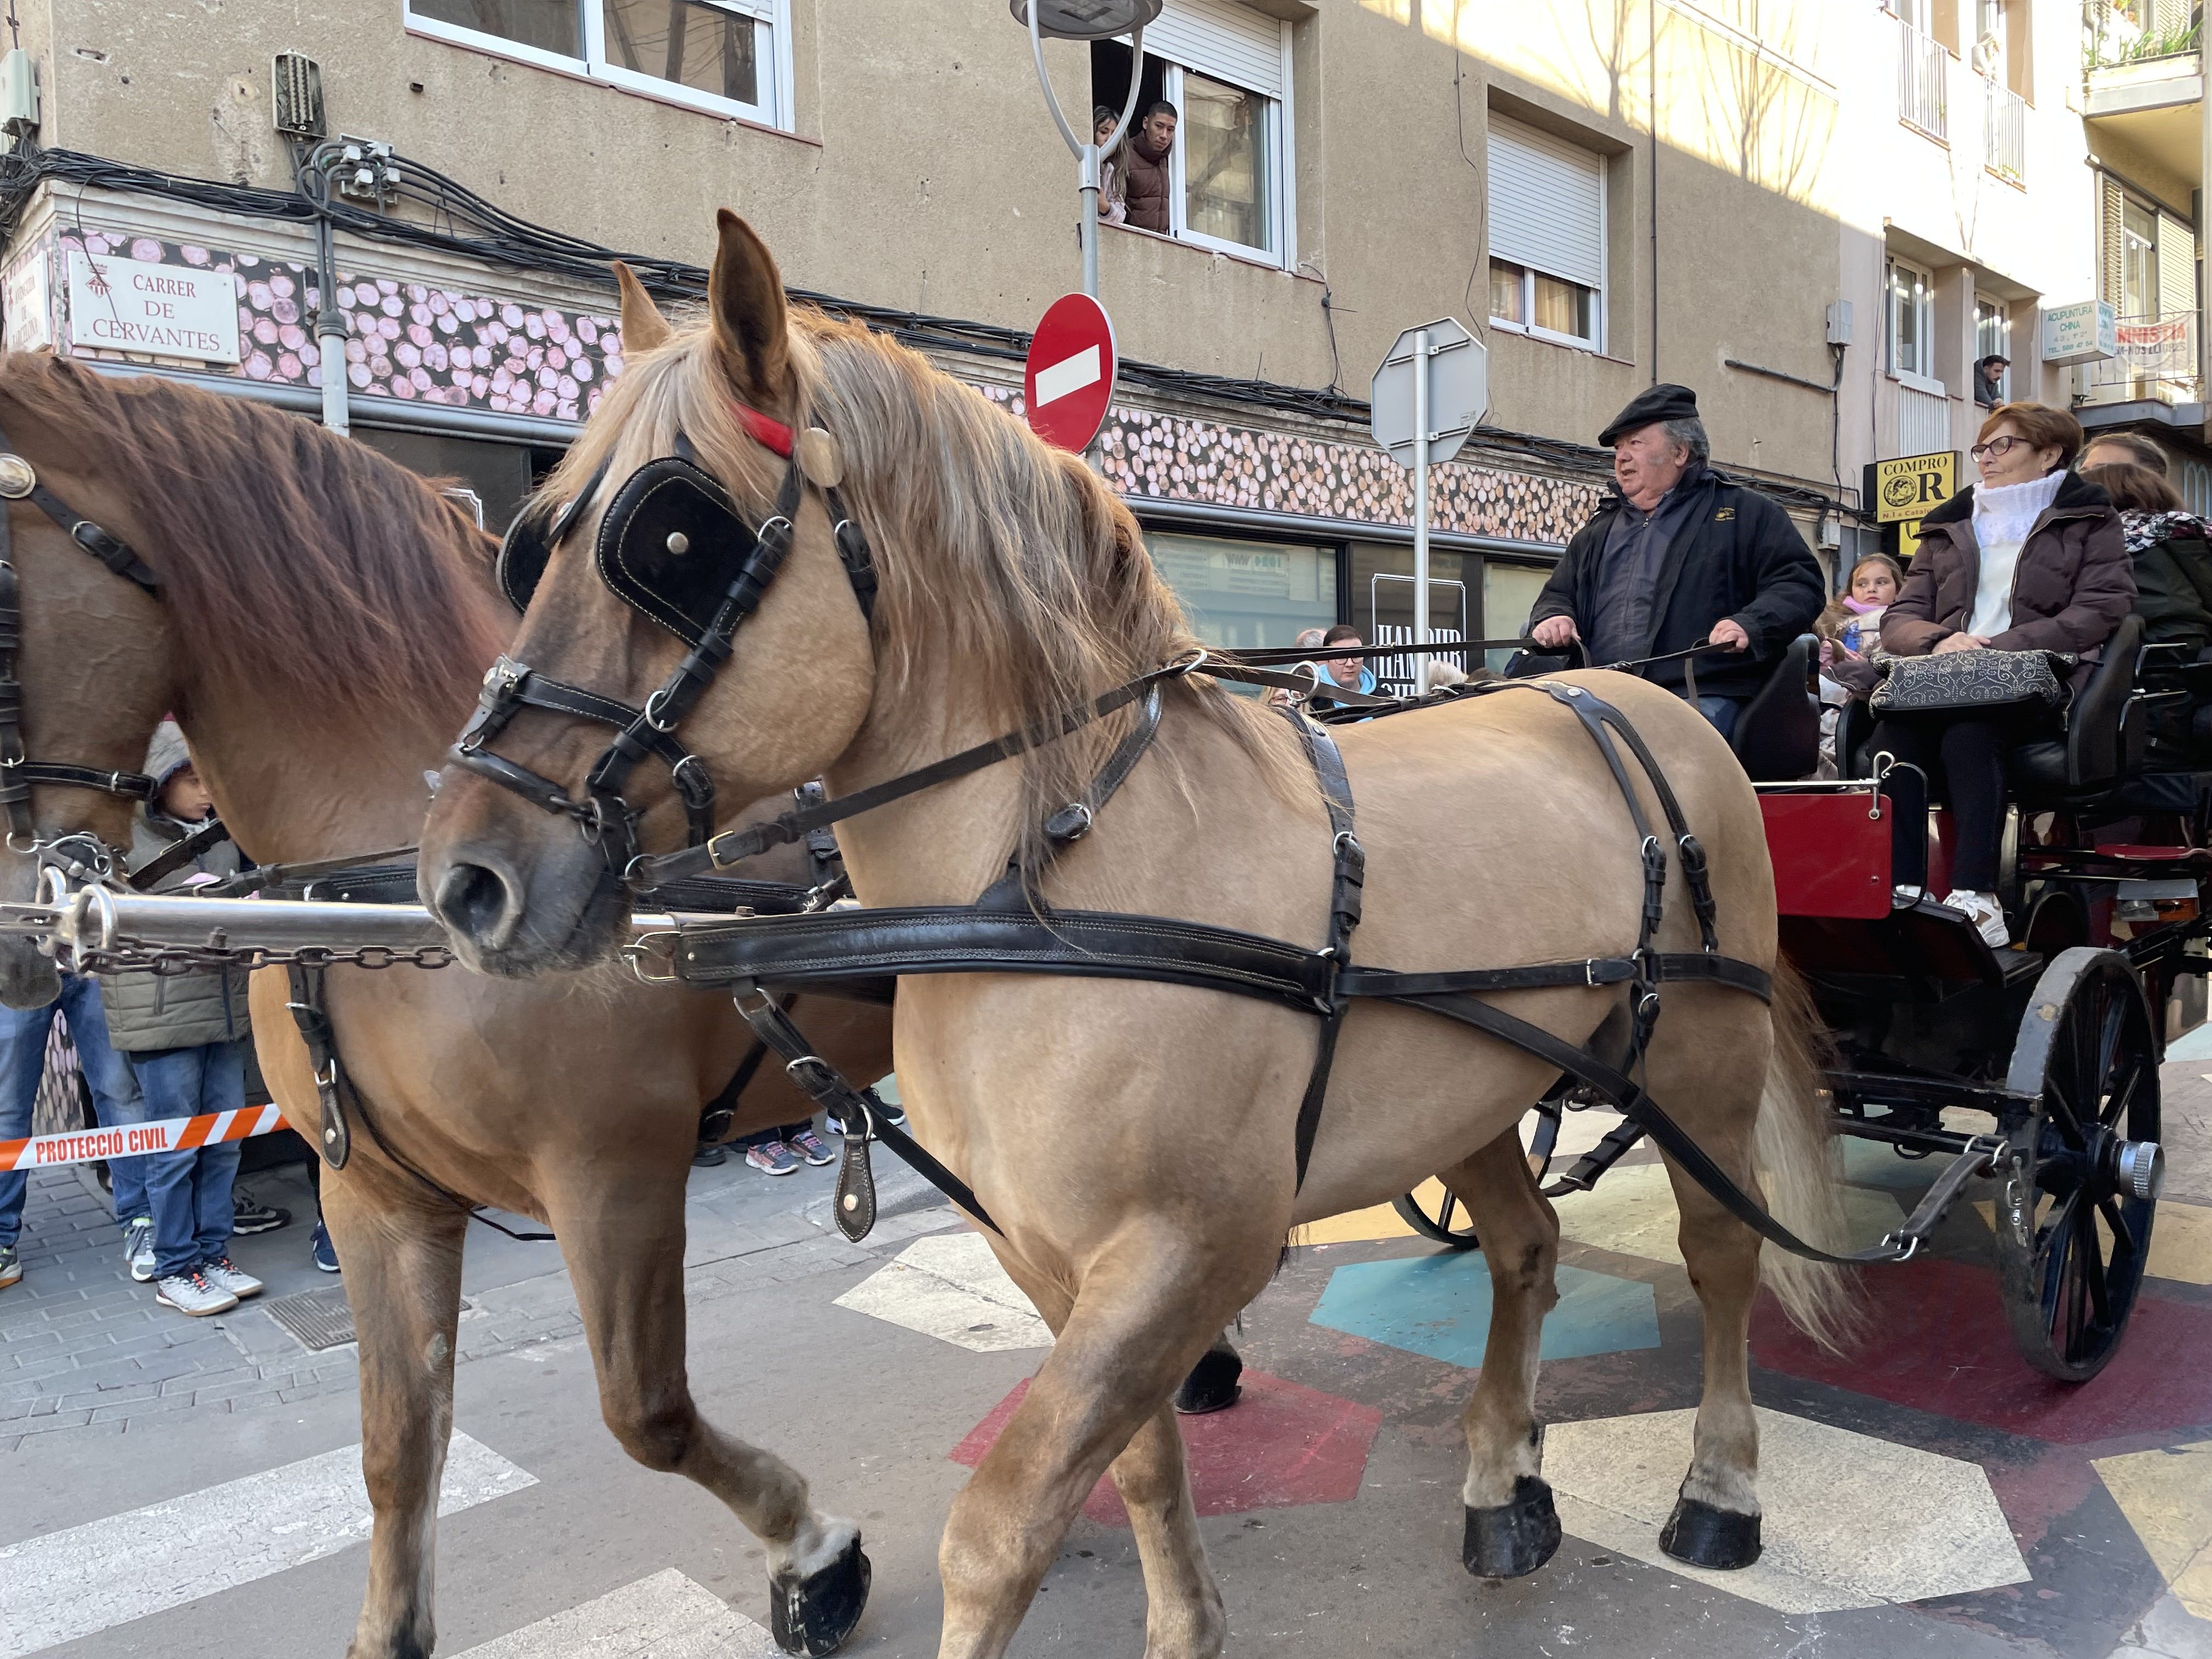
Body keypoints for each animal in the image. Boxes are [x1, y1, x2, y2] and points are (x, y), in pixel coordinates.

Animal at [0, 354, 898, 1659]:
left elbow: (649, 1414)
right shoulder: (374, 1191)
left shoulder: (612, 1177)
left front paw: (814, 1553)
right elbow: (396, 1445)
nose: (27, 935)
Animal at [422, 215, 1858, 1654]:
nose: (467, 882)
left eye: (671, 541)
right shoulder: (1052, 1258)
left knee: (1721, 1253)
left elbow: (1000, 1530)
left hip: (1702, 1062)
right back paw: (1504, 1478)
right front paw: (1184, 1621)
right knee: (1524, 1247)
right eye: (534, 541)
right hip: (1476, 1085)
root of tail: (1628, 693)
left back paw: (1719, 1486)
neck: (1049, 888)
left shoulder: (1185, 1251)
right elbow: (1136, 1461)